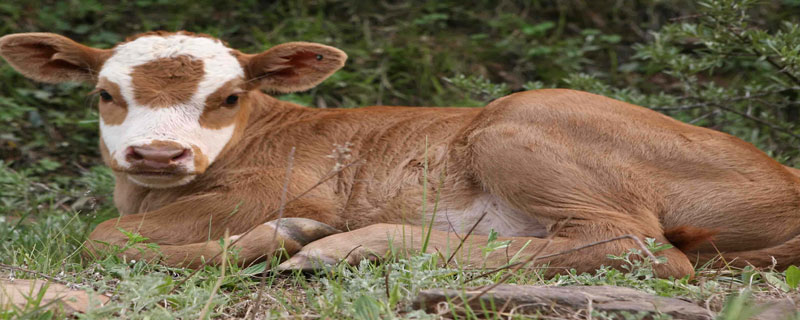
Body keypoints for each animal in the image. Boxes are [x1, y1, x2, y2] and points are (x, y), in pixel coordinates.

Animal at [1, 30, 800, 278]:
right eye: (105, 93)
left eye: (228, 97)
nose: (159, 154)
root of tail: (783, 177)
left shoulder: (273, 188)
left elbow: (101, 238)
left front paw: (281, 237)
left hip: (515, 122)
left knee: (640, 245)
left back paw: (345, 246)